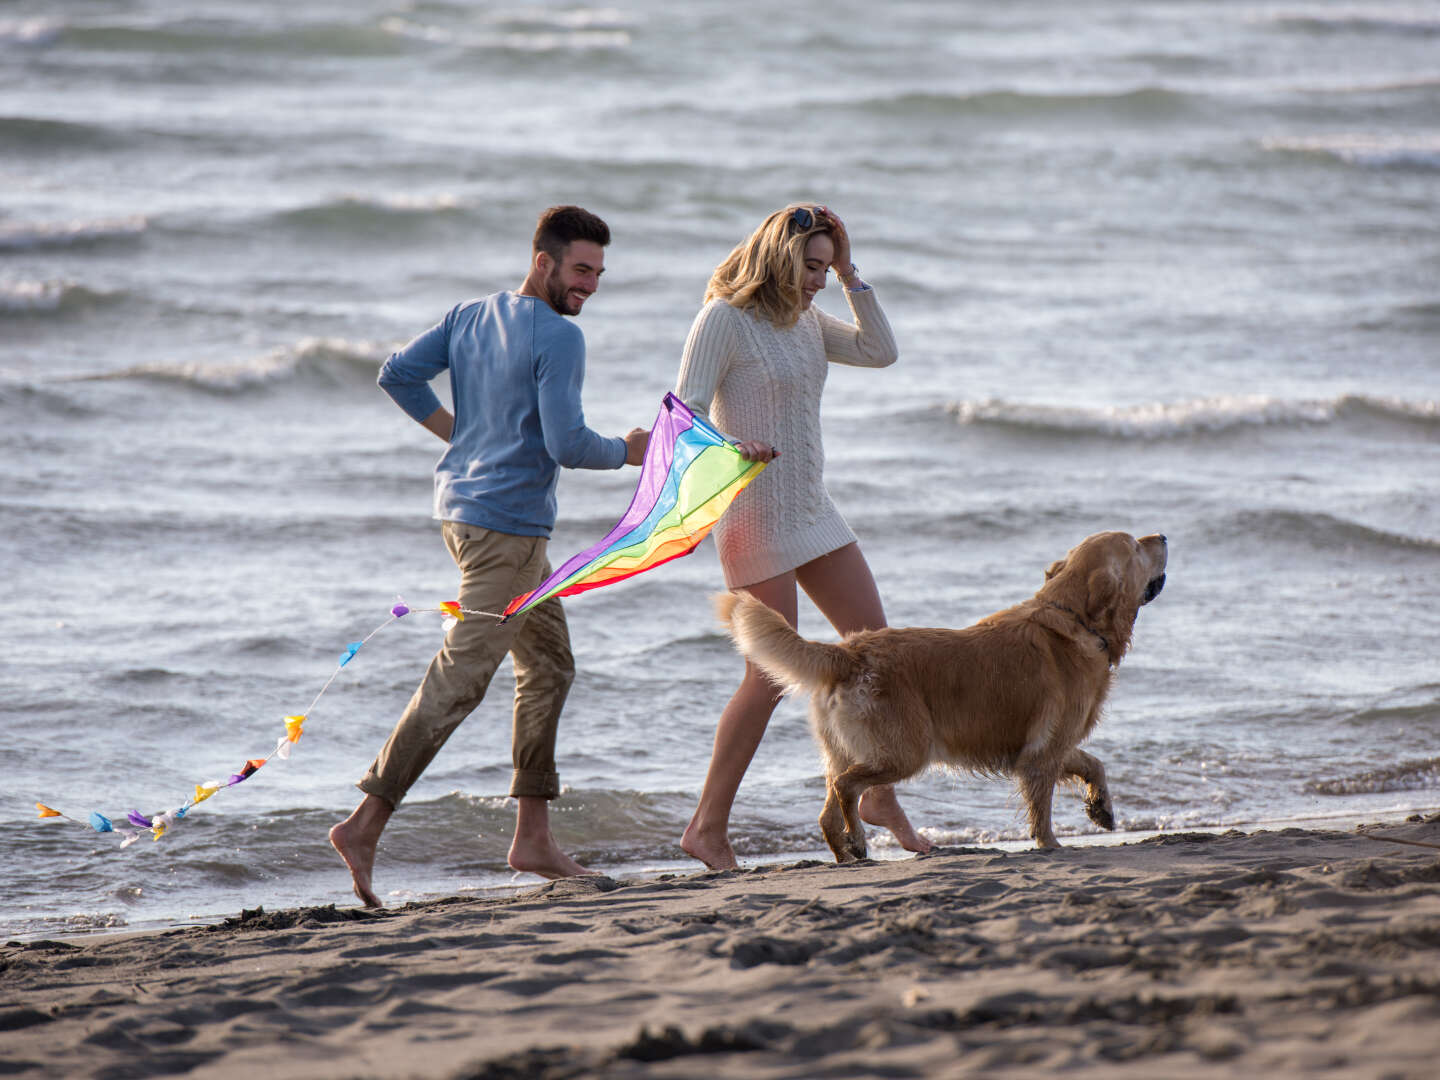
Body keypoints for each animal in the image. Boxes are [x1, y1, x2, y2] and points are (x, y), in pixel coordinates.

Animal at [714, 532, 1163, 864]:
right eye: (1135, 546)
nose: (1162, 535)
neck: (1074, 619)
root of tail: (848, 652)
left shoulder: (1050, 744)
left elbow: (1094, 763)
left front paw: (1102, 809)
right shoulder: (1042, 752)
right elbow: (1043, 809)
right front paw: (1050, 845)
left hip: (844, 750)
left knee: (827, 814)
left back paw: (846, 856)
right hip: (904, 751)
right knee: (847, 788)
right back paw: (858, 841)